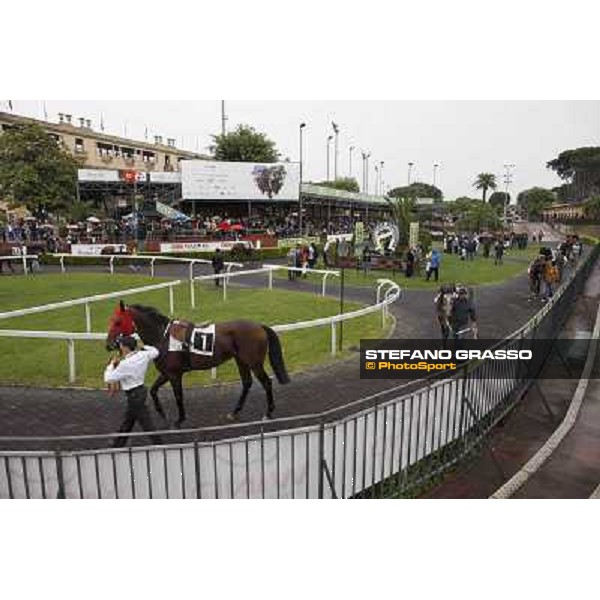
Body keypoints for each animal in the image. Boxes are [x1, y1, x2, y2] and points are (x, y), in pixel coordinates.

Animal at [107, 302, 290, 424]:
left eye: (118, 322)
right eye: (111, 320)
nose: (109, 344)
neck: (163, 337)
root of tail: (259, 326)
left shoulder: (174, 374)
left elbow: (178, 395)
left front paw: (180, 419)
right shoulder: (167, 373)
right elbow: (153, 390)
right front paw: (162, 413)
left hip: (254, 362)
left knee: (266, 382)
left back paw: (268, 413)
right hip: (241, 361)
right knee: (247, 383)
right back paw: (234, 412)